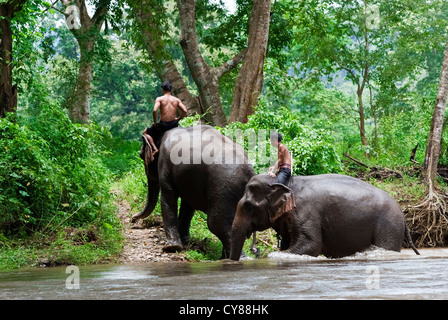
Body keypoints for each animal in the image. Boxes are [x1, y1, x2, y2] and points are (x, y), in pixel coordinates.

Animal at [131, 124, 254, 258]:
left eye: (141, 156)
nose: (132, 219)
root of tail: (249, 172)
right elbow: (188, 205)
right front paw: (185, 241)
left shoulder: (165, 162)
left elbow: (168, 198)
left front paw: (172, 247)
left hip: (223, 186)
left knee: (217, 223)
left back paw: (239, 258)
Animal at [231, 174, 420, 262]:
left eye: (248, 206)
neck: (287, 183)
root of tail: (402, 212)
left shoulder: (306, 212)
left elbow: (311, 245)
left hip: (388, 225)